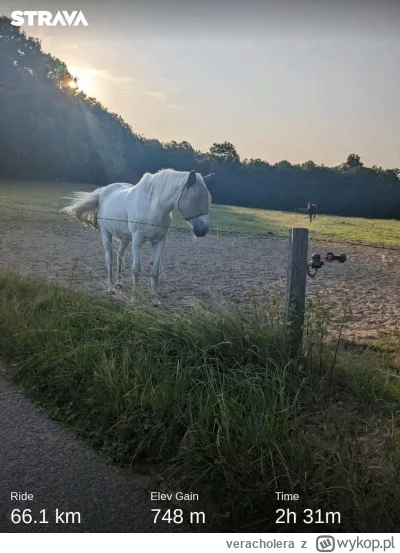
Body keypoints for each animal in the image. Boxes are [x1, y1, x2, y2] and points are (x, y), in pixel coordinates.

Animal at [61, 169, 214, 306]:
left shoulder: (159, 242)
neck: (154, 208)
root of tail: (103, 191)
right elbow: (136, 269)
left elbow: (155, 271)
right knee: (110, 259)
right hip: (106, 234)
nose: (203, 230)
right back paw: (111, 288)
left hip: (125, 238)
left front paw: (155, 300)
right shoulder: (137, 241)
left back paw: (118, 282)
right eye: (196, 198)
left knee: (120, 256)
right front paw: (134, 299)